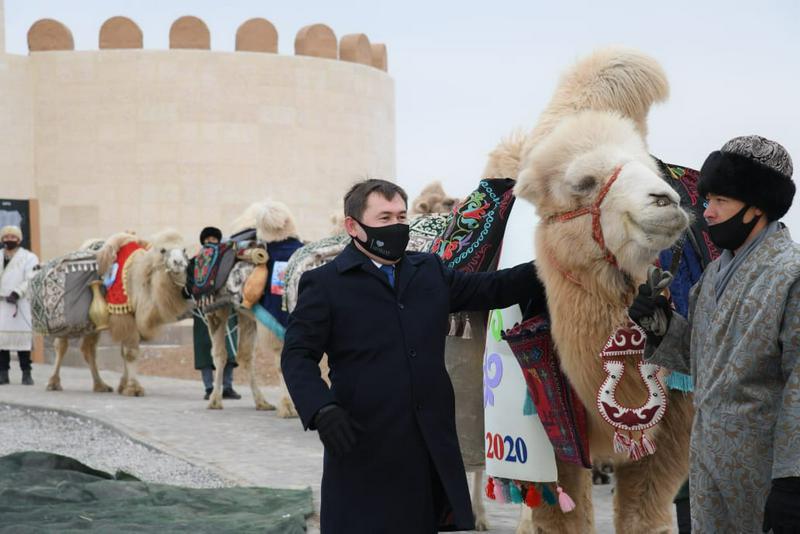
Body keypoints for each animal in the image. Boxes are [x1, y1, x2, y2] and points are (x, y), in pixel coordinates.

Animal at [46, 230, 189, 398]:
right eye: (162, 250)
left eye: (184, 249)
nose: (178, 262)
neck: (138, 278)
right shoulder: (123, 312)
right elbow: (130, 352)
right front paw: (133, 388)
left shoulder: (131, 318)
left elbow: (125, 350)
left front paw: (123, 385)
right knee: (62, 345)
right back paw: (53, 383)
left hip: (93, 322)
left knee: (89, 349)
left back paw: (100, 385)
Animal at [482, 47, 692, 534]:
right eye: (583, 183)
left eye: (651, 167)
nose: (665, 201)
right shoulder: (544, 429)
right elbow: (556, 514)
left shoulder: (675, 426)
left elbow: (645, 515)